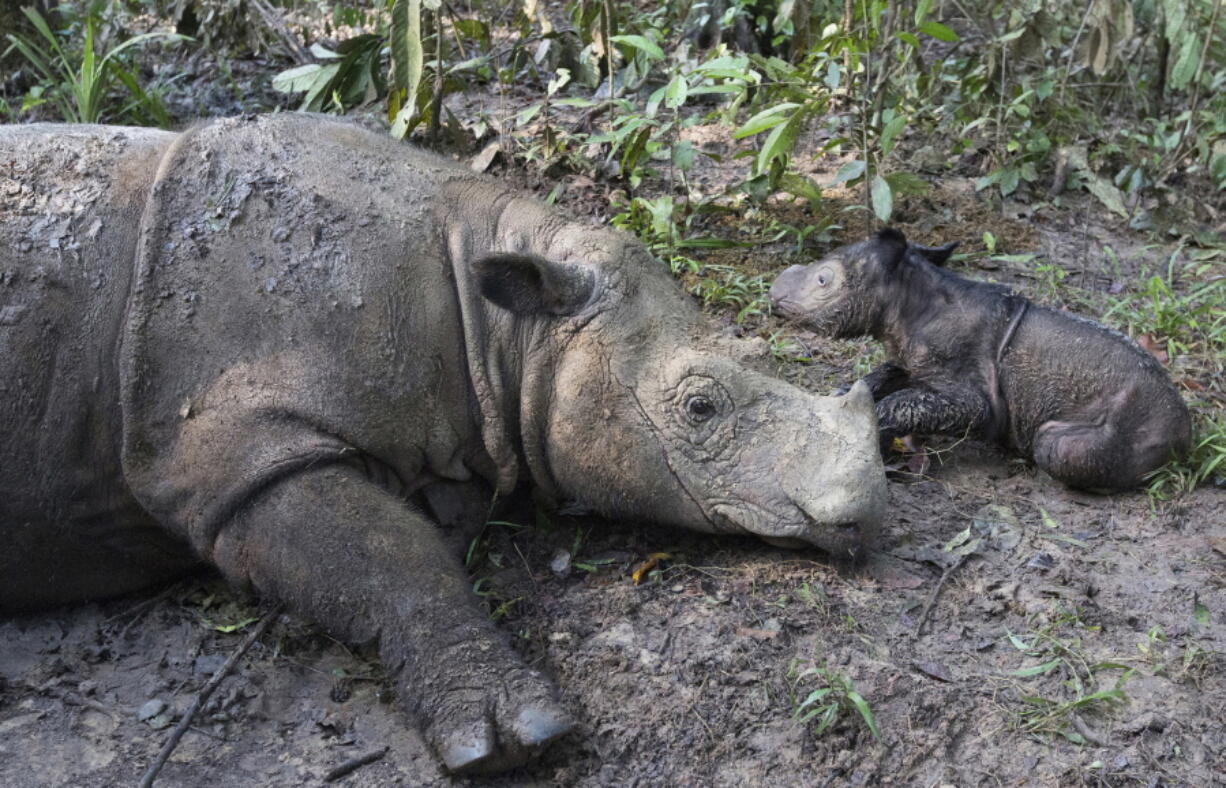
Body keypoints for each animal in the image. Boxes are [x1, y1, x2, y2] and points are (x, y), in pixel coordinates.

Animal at [0, 117, 882, 774]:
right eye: (700, 407)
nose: (867, 504)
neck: (498, 324)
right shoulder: (235, 458)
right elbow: (389, 555)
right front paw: (515, 737)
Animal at [774, 225, 1186, 490]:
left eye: (824, 280)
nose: (773, 293)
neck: (907, 297)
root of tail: (1188, 431)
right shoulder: (914, 360)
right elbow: (886, 375)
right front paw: (842, 396)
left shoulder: (977, 400)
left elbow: (902, 403)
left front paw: (865, 432)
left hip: (1131, 422)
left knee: (1054, 447)